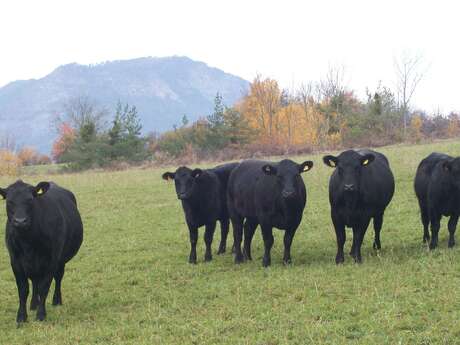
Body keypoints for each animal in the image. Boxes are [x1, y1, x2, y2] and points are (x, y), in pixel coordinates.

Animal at [0, 180, 83, 322]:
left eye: (30, 200)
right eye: (9, 201)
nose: (20, 221)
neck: (27, 243)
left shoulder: (51, 261)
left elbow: (44, 287)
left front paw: (41, 315)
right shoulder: (15, 262)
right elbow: (23, 289)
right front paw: (21, 317)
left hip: (60, 260)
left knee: (58, 278)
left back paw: (56, 300)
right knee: (35, 282)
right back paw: (33, 304)